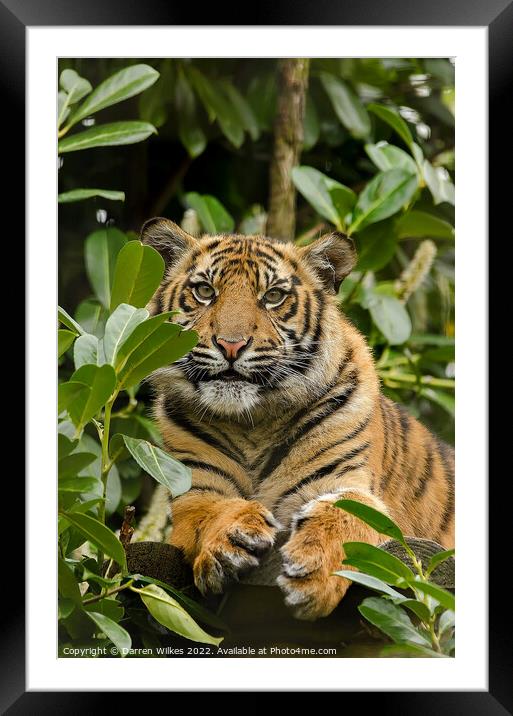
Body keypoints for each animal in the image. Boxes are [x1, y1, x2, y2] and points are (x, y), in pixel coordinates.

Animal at [139, 217, 452, 620]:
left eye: (273, 296)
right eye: (205, 291)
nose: (230, 345)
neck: (252, 423)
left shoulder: (349, 486)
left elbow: (343, 515)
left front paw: (313, 573)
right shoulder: (193, 492)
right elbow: (212, 509)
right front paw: (231, 537)